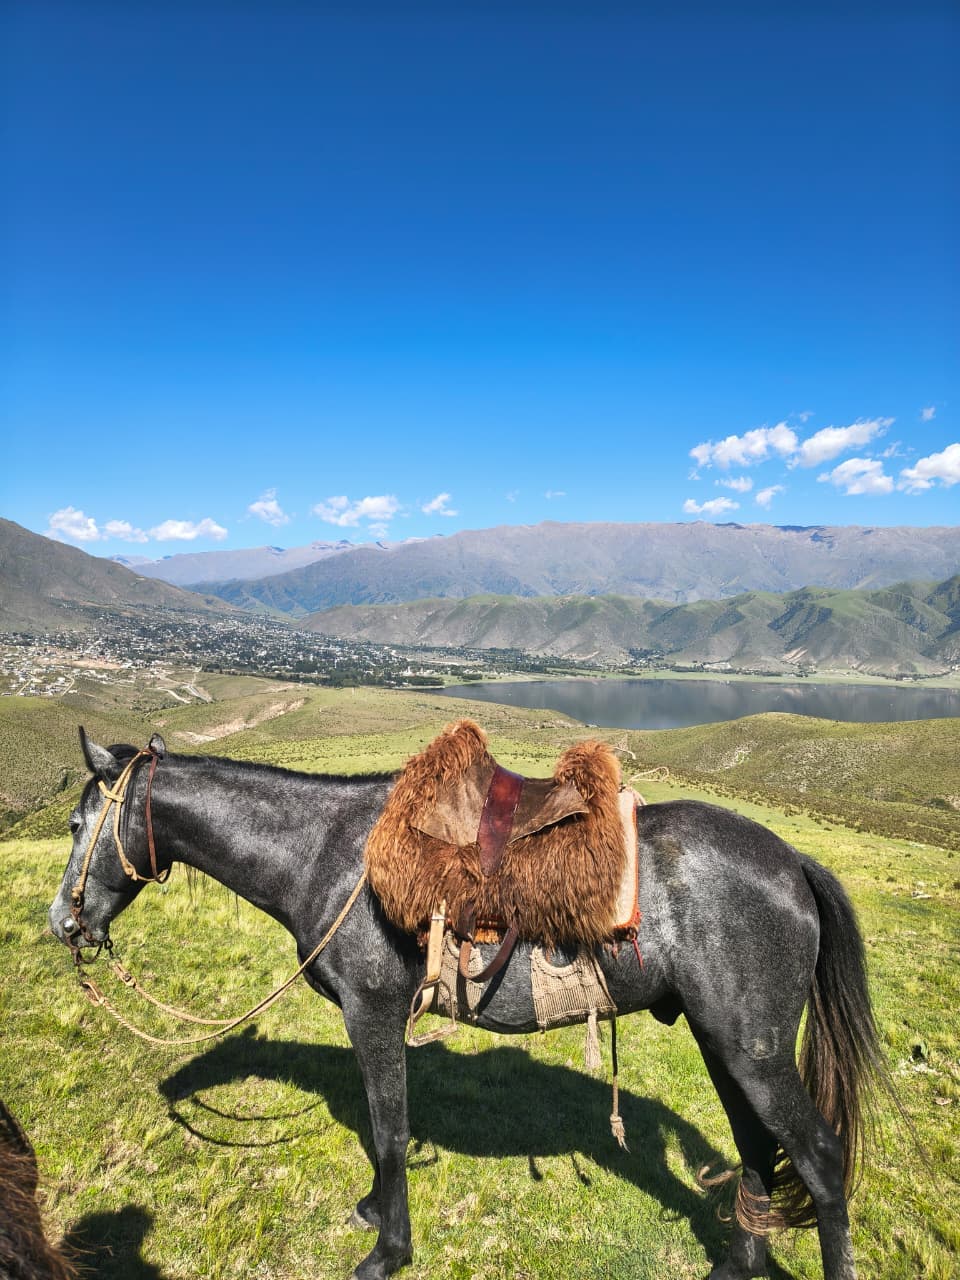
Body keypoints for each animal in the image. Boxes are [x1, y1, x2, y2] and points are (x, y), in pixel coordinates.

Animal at [48, 729, 890, 1280]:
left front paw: (387, 1252)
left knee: (819, 1158)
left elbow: (389, 1131)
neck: (325, 854)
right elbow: (382, 1134)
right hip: (728, 1045)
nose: (64, 923)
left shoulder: (373, 1012)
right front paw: (374, 1214)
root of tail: (792, 863)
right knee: (756, 1146)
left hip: (754, 1052)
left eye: (78, 822)